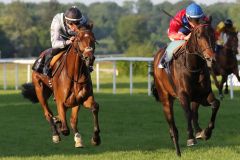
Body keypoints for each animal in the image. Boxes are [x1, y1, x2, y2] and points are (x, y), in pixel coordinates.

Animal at [153, 23, 220, 156]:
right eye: (199, 36)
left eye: (213, 34)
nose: (211, 58)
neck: (193, 66)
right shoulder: (183, 95)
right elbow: (187, 113)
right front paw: (190, 138)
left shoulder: (203, 95)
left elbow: (215, 104)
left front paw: (206, 132)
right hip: (166, 99)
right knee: (173, 129)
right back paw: (178, 152)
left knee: (194, 112)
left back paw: (199, 132)